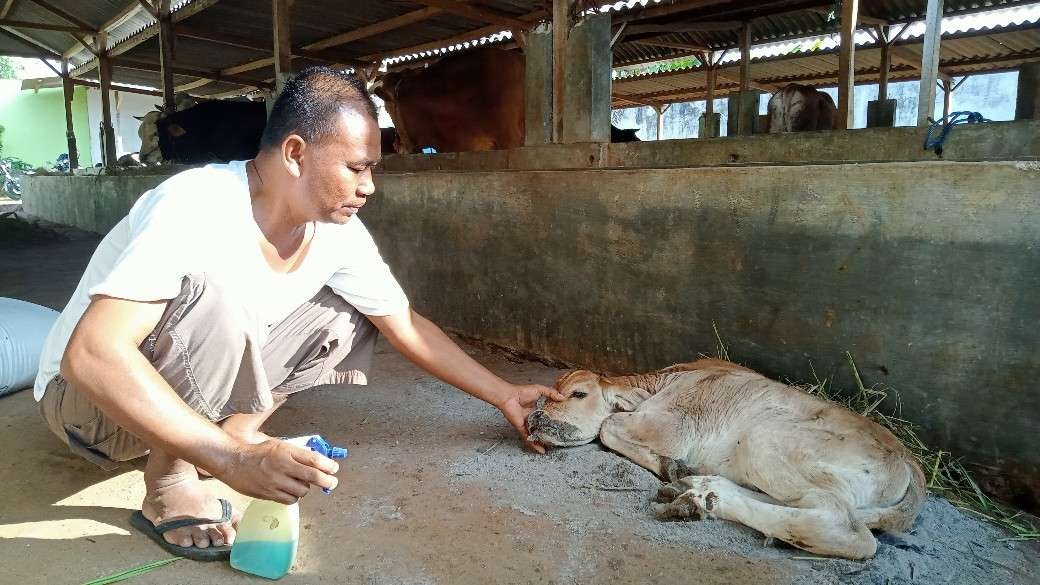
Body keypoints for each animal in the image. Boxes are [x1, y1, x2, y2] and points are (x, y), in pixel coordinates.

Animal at [528, 358, 927, 557]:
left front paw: (668, 464)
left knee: (847, 529)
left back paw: (696, 495)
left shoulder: (675, 423)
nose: (533, 418)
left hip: (765, 437)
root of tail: (910, 461)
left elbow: (608, 424)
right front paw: (677, 470)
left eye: (579, 394)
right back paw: (698, 493)